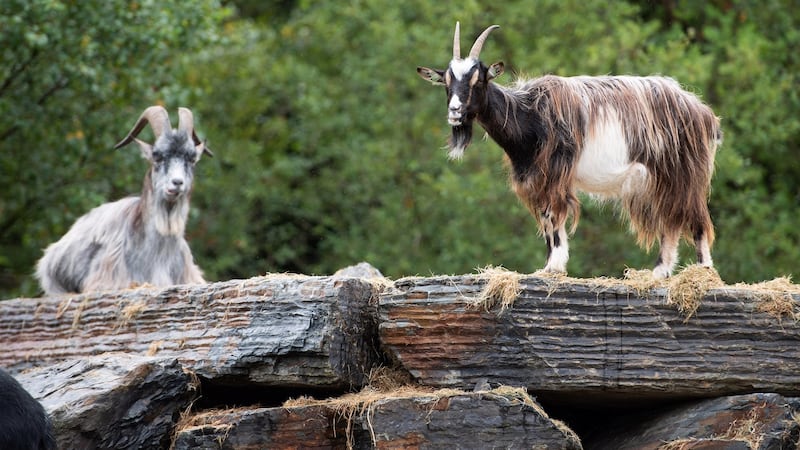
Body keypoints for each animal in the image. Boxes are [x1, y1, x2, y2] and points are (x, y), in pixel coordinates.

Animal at [417, 23, 721, 278]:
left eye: (478, 80)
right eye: (446, 81)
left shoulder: (554, 176)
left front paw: (553, 266)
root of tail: (701, 111)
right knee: (671, 222)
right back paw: (660, 272)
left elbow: (553, 219)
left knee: (695, 219)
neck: (530, 116)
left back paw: (703, 271)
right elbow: (545, 220)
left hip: (684, 172)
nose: (455, 111)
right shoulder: (537, 180)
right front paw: (549, 266)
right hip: (663, 179)